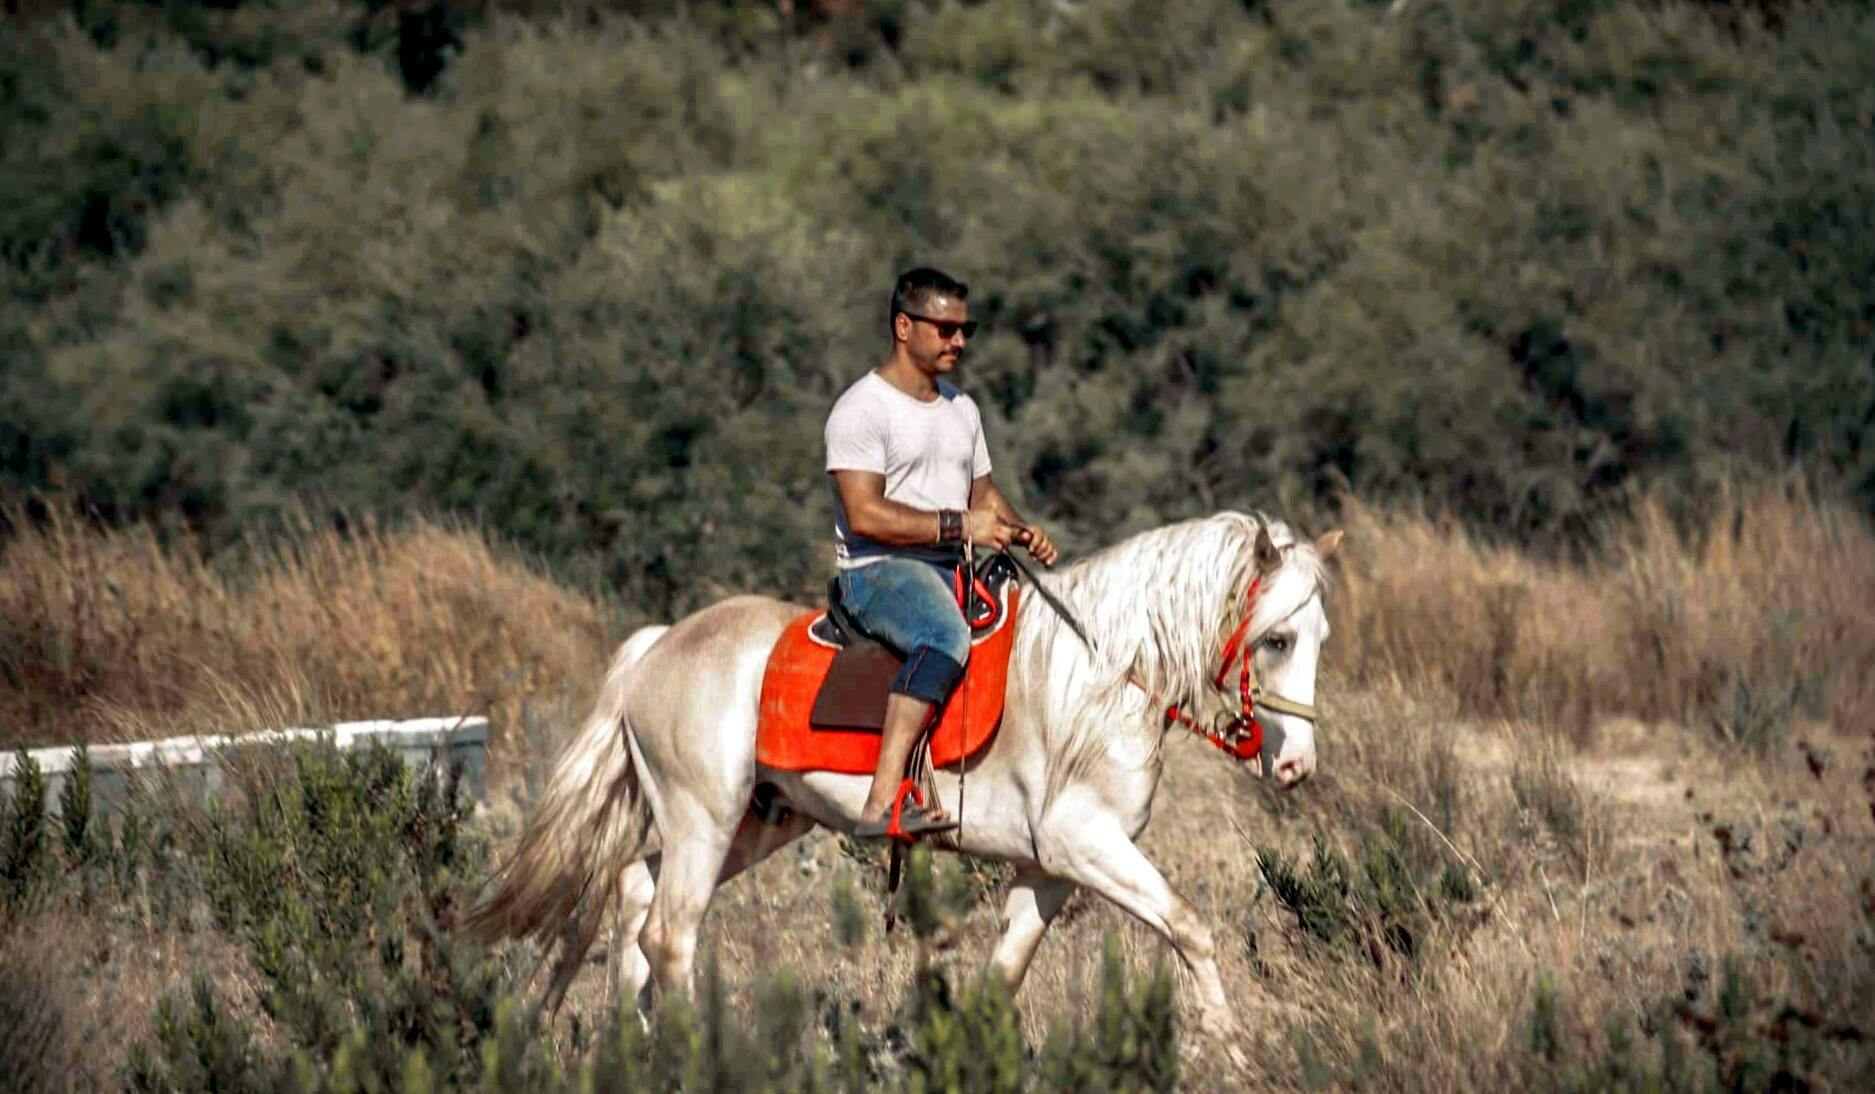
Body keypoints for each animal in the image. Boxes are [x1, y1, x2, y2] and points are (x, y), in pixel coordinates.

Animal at [461, 514, 1342, 1043]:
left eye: (1320, 638)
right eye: (1275, 640)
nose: (1295, 765)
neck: (1098, 677)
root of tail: (660, 644)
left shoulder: (1050, 869)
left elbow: (1003, 974)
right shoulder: (1083, 846)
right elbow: (1190, 928)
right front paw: (1230, 1053)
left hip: (751, 824)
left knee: (633, 896)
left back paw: (640, 1047)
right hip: (703, 820)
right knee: (669, 933)